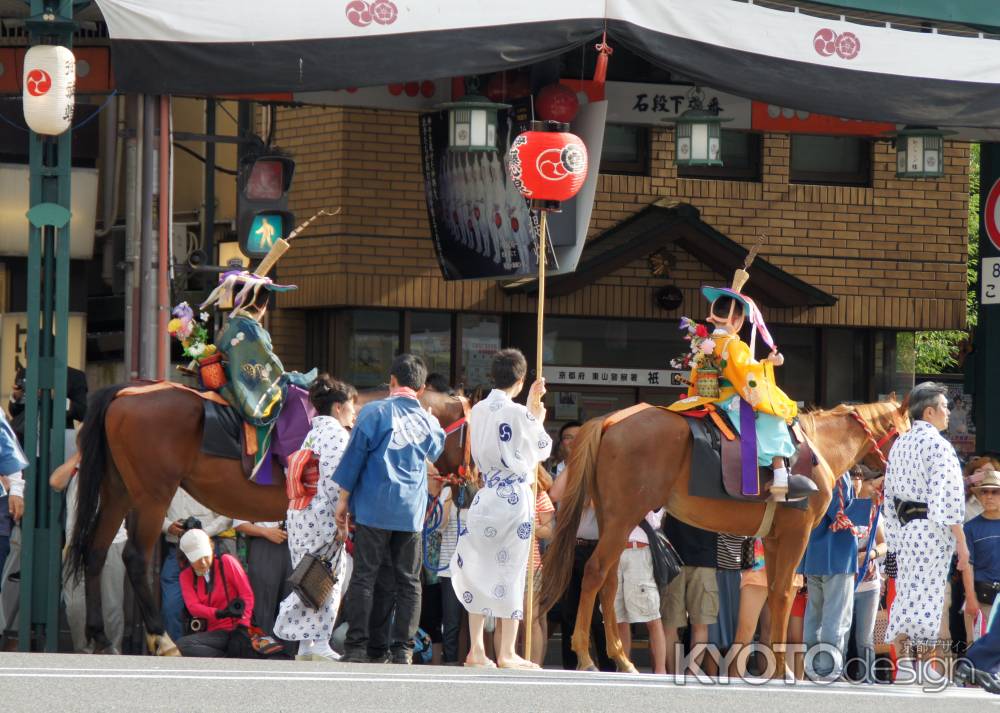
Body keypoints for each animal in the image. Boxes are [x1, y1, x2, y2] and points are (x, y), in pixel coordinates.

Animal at [67, 382, 472, 652]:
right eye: (472, 432)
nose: (472, 483)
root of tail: (126, 394)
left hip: (118, 489)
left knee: (96, 552)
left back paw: (99, 635)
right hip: (153, 494)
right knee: (134, 557)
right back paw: (162, 638)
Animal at [540, 400, 908, 672]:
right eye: (909, 431)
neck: (818, 450)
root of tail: (610, 421)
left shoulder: (774, 539)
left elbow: (775, 593)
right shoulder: (797, 533)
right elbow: (783, 595)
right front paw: (782, 668)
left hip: (611, 517)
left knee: (609, 581)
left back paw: (620, 657)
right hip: (623, 515)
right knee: (595, 572)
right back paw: (586, 655)